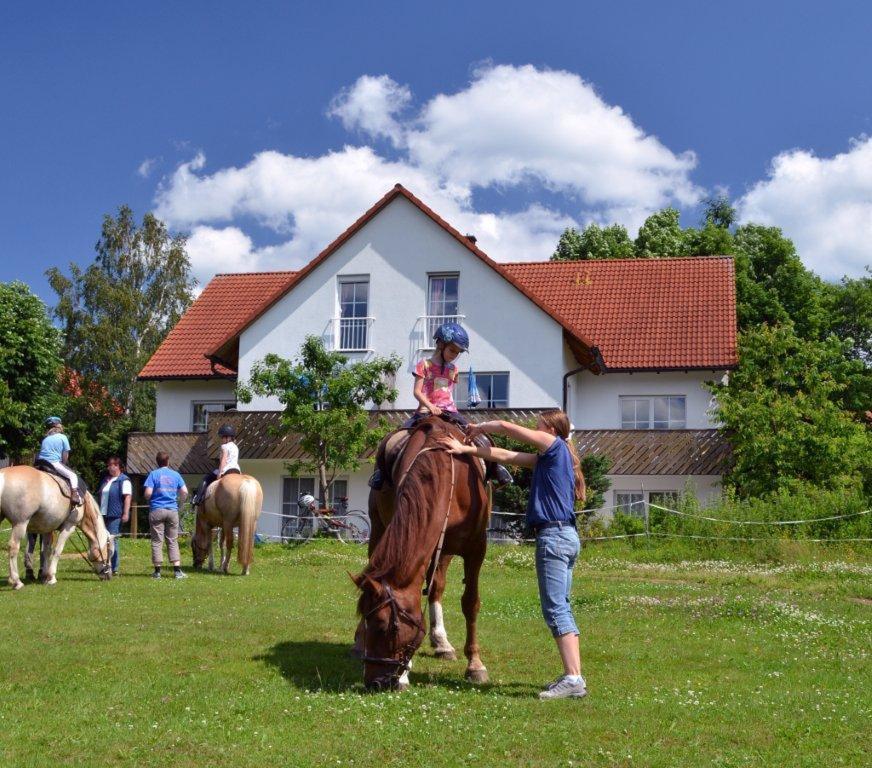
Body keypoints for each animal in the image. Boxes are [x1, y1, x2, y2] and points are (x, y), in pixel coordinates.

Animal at [0, 464, 112, 592]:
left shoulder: (47, 529)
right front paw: (52, 577)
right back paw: (16, 581)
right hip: (20, 524)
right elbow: (57, 551)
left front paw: (44, 576)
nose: (109, 575)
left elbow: (46, 551)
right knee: (13, 547)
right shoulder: (69, 526)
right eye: (110, 552)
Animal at [354, 416, 490, 692]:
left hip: (445, 549)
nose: (373, 682)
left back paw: (442, 643)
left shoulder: (476, 548)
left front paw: (475, 665)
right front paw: (404, 674)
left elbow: (470, 603)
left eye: (383, 627)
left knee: (437, 587)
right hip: (379, 528)